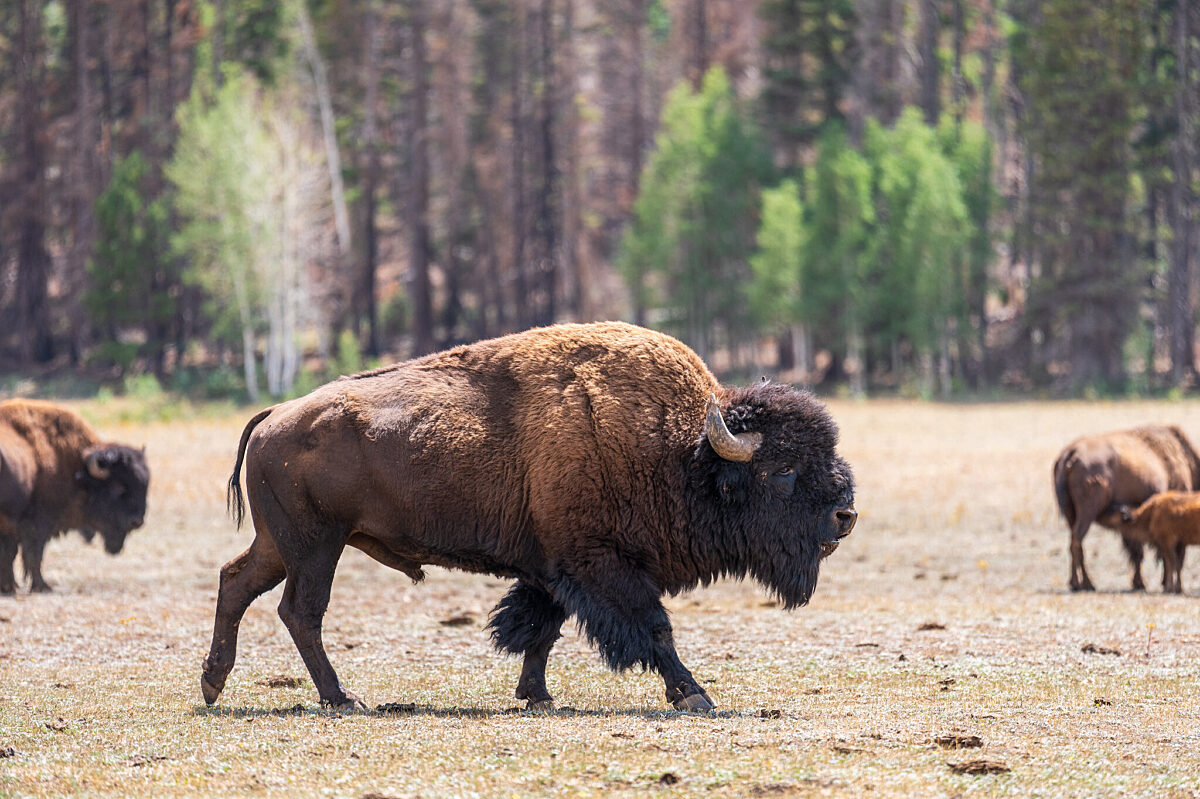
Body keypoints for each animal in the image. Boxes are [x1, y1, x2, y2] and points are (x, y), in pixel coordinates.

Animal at [0, 399, 150, 594]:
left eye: (145, 485)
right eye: (118, 487)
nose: (137, 521)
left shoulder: (11, 528)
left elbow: (10, 555)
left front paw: (9, 587)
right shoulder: (37, 524)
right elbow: (32, 555)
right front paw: (43, 586)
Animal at [202, 322, 857, 712]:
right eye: (781, 469)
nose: (845, 516)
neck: (683, 450)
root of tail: (274, 415)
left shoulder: (555, 567)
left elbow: (542, 629)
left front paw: (536, 695)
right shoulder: (602, 565)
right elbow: (653, 628)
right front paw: (693, 695)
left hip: (281, 544)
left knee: (236, 583)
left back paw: (213, 685)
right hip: (317, 545)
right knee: (301, 611)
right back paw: (342, 699)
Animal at [1052, 425, 1200, 591]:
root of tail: (1071, 453)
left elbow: (1138, 552)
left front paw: (1140, 583)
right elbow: (1167, 555)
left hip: (1071, 514)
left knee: (1075, 543)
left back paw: (1078, 583)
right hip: (1087, 512)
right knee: (1077, 541)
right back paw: (1085, 584)